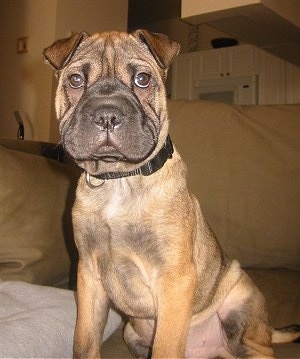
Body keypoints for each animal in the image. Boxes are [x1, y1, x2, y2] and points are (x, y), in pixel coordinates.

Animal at [43, 31, 298, 359]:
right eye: (75, 80)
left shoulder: (174, 278)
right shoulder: (89, 274)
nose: (107, 115)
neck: (121, 180)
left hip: (241, 302)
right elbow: (84, 342)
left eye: (142, 79)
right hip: (132, 333)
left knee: (260, 349)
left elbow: (165, 347)